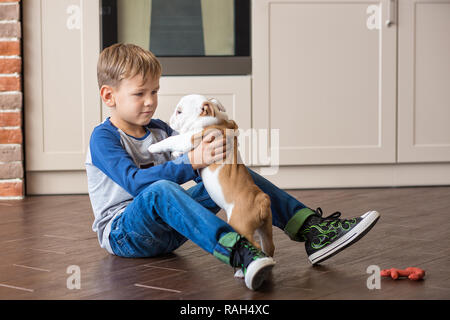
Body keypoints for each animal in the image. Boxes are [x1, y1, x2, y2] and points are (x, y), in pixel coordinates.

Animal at [149, 95, 274, 260]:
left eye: (179, 112)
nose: (170, 120)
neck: (213, 117)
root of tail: (261, 200)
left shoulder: (189, 138)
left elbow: (171, 140)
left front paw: (153, 147)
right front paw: (175, 154)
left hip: (242, 225)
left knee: (255, 244)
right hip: (265, 228)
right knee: (269, 245)